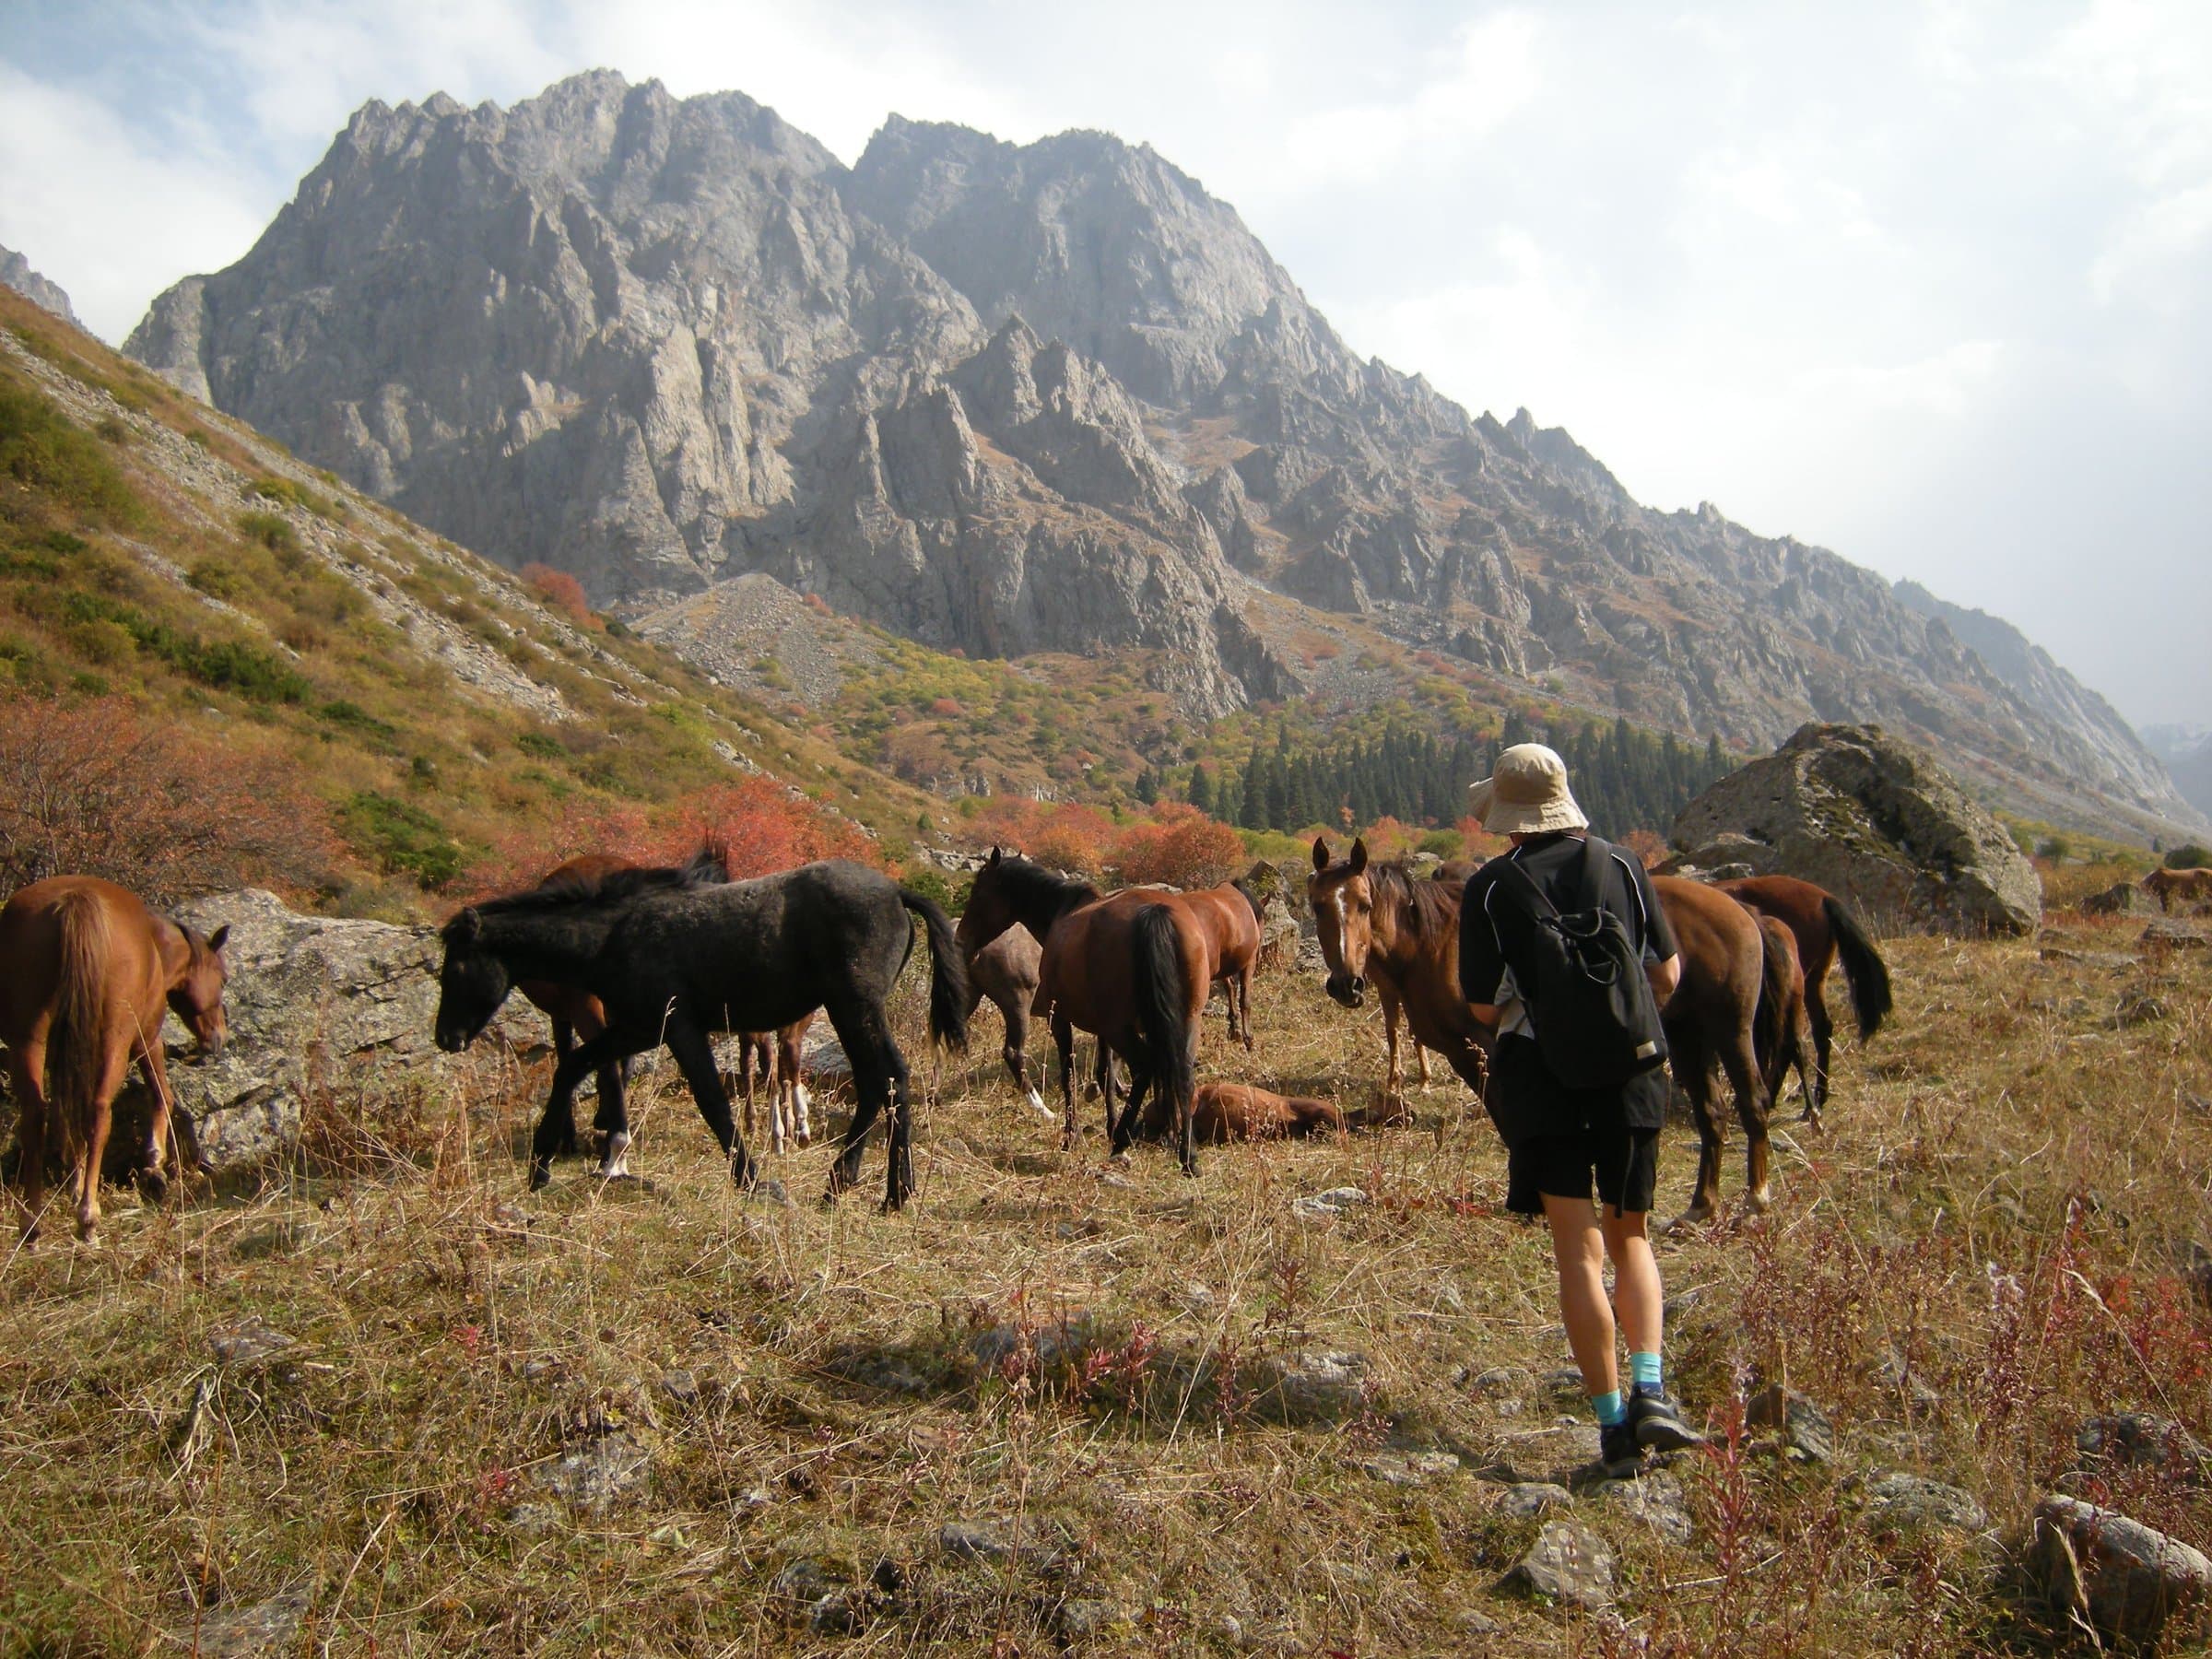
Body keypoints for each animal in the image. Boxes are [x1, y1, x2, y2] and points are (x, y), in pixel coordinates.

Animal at [0, 877, 229, 1242]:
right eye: (222, 979)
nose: (218, 1038)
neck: (155, 947)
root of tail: (75, 900)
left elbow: (68, 1117)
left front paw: (77, 1183)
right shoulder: (147, 1039)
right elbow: (162, 1093)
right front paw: (154, 1165)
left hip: (28, 1039)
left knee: (35, 1115)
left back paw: (32, 1224)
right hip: (114, 1040)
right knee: (98, 1112)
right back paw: (88, 1219)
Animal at [434, 858, 966, 1209]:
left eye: (455, 968)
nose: (446, 1038)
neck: (614, 934)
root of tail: (897, 892)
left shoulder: (678, 1029)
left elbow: (712, 1102)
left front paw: (754, 1182)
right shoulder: (638, 1029)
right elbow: (573, 1067)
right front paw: (540, 1165)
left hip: (853, 1008)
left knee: (888, 1078)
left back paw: (883, 1190)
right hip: (850, 1011)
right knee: (880, 1083)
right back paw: (855, 1185)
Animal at [958, 849, 1210, 1172]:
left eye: (978, 891)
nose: (961, 939)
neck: (1062, 911)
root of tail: (1156, 912)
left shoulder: (1062, 1021)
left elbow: (1070, 1074)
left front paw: (1073, 1134)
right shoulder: (1105, 1030)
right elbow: (1106, 1074)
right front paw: (1115, 1125)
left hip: (1115, 1027)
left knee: (1145, 1067)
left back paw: (1122, 1140)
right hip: (1185, 1021)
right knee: (1182, 1074)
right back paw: (1186, 1153)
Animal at [1307, 837, 1489, 1105]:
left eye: (1366, 906)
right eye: (1317, 907)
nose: (1345, 986)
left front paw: (1424, 1082)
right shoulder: (1389, 988)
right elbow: (1394, 1031)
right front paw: (1395, 1084)